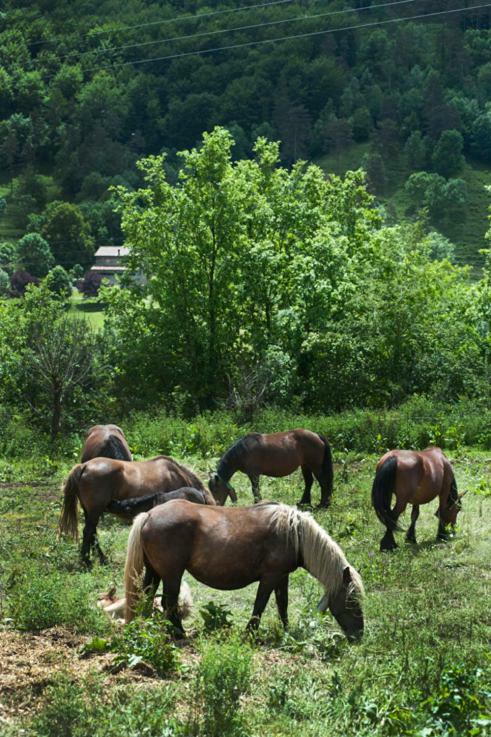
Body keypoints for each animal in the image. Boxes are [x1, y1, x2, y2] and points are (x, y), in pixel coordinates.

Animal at [59, 452, 213, 568]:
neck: (175, 474)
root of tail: (84, 466)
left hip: (90, 511)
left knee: (92, 533)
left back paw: (100, 558)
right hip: (95, 511)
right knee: (88, 532)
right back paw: (87, 561)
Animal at [125, 500, 364, 640]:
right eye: (351, 600)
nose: (359, 635)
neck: (294, 534)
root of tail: (149, 515)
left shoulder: (282, 577)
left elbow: (282, 605)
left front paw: (286, 632)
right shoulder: (270, 578)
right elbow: (260, 606)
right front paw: (250, 633)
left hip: (154, 572)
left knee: (147, 598)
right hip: (172, 575)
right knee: (169, 603)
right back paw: (179, 633)